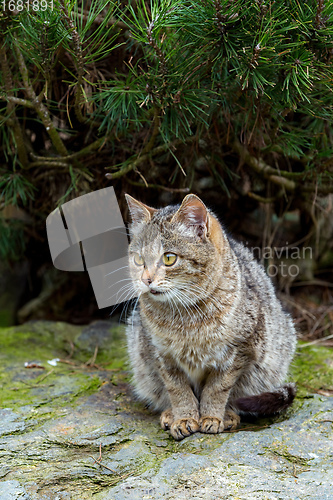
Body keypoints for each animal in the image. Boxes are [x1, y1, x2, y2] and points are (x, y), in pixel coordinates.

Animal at [123, 193, 294, 440]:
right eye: (138, 260)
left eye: (169, 258)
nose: (145, 279)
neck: (185, 316)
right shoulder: (160, 353)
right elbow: (177, 389)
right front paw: (184, 418)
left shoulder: (239, 351)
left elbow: (217, 389)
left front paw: (212, 416)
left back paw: (229, 415)